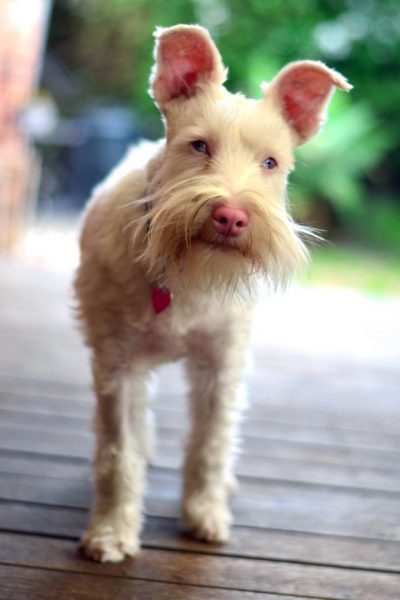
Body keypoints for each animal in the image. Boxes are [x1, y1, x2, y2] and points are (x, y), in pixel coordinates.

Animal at [75, 22, 350, 556]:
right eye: (199, 146)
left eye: (271, 162)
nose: (231, 216)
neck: (184, 278)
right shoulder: (118, 365)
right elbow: (118, 450)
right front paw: (112, 532)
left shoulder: (223, 365)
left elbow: (211, 443)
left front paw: (205, 514)